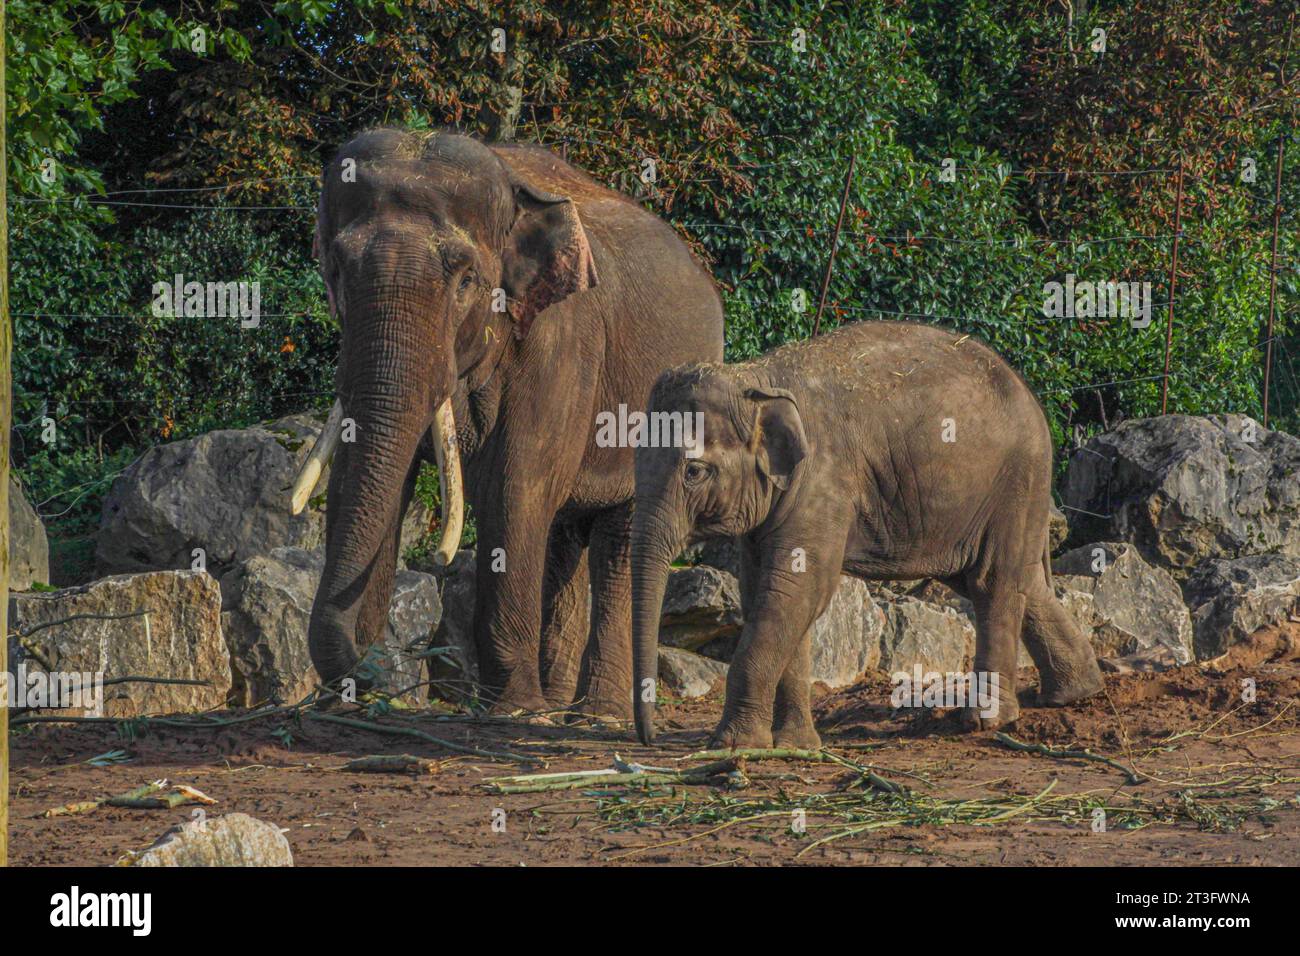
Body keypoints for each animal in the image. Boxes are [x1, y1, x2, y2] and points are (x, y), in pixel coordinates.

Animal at [292, 130, 722, 723]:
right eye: (336, 269)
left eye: (466, 280)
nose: (371, 665)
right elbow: (359, 479)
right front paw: (349, 702)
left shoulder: (561, 341)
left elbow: (515, 488)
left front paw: (513, 711)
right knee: (564, 536)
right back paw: (558, 703)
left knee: (618, 538)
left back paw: (595, 714)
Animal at [634, 325, 1102, 749]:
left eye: (695, 471)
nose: (650, 739)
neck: (755, 379)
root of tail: (1029, 394)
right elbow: (768, 593)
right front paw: (796, 745)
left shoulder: (824, 480)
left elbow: (795, 589)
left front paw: (734, 745)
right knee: (1017, 580)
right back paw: (1077, 692)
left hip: (1016, 480)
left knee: (992, 582)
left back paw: (985, 721)